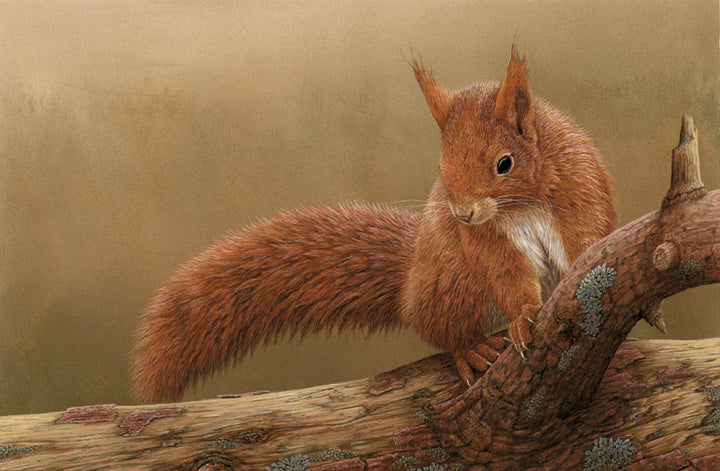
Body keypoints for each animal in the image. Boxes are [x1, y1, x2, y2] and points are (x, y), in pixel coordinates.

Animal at [131, 45, 616, 403]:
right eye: (441, 168)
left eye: (504, 164)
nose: (462, 213)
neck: (519, 205)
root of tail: (410, 288)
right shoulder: (483, 241)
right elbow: (505, 273)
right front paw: (523, 317)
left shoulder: (579, 188)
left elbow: (588, 237)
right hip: (453, 281)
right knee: (444, 330)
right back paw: (472, 349)